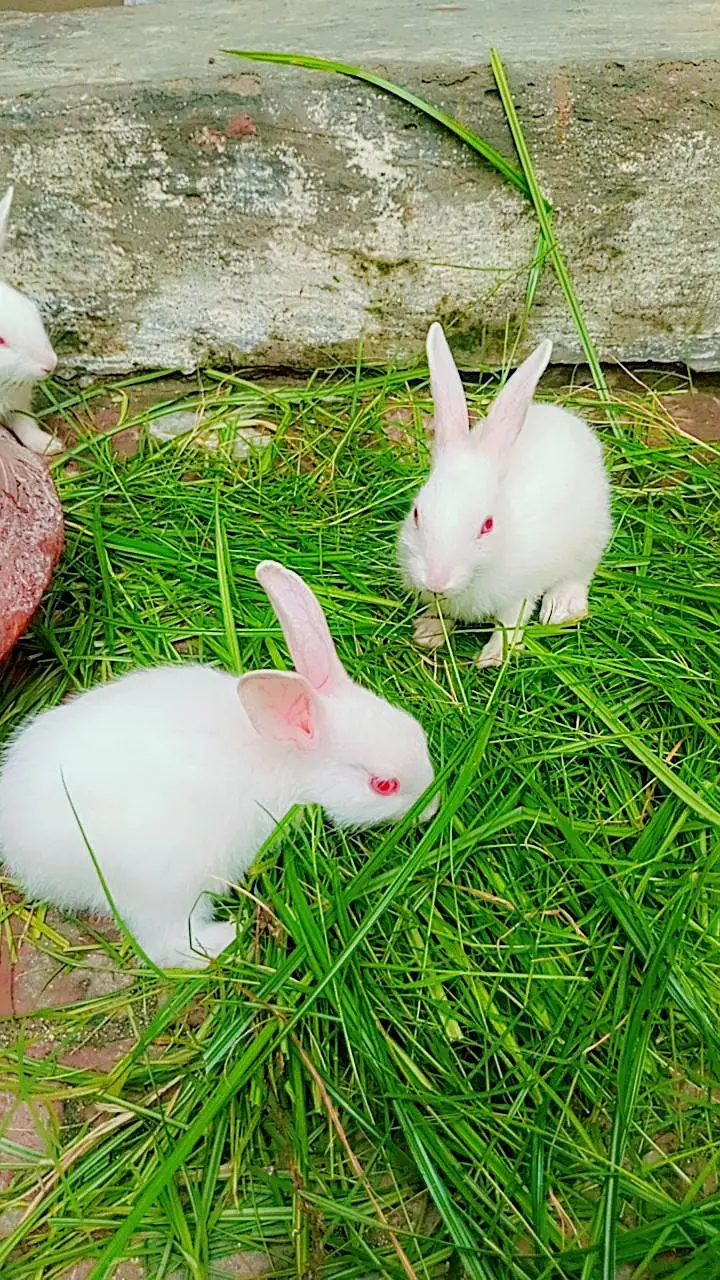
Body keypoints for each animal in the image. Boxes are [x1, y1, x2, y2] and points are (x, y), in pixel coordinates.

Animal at [0, 561, 437, 969]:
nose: (432, 810)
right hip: (170, 883)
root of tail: (21, 846)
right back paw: (233, 934)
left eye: (418, 732)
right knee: (169, 945)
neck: (285, 755)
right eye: (384, 785)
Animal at [398, 323, 612, 668]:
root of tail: (563, 417)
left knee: (579, 574)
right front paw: (427, 634)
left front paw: (492, 658)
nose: (437, 582)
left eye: (487, 525)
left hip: (591, 537)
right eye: (417, 514)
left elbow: (509, 624)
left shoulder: (519, 595)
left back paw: (562, 608)